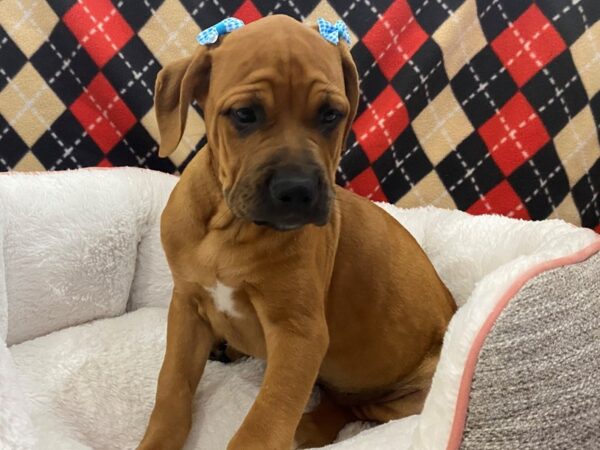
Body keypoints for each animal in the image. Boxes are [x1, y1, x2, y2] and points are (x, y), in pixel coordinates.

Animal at [137, 14, 454, 450]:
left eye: (330, 115)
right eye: (244, 114)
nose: (298, 189)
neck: (230, 226)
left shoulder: (300, 334)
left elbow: (265, 421)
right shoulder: (186, 305)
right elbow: (172, 387)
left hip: (409, 392)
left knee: (345, 409)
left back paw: (305, 429)